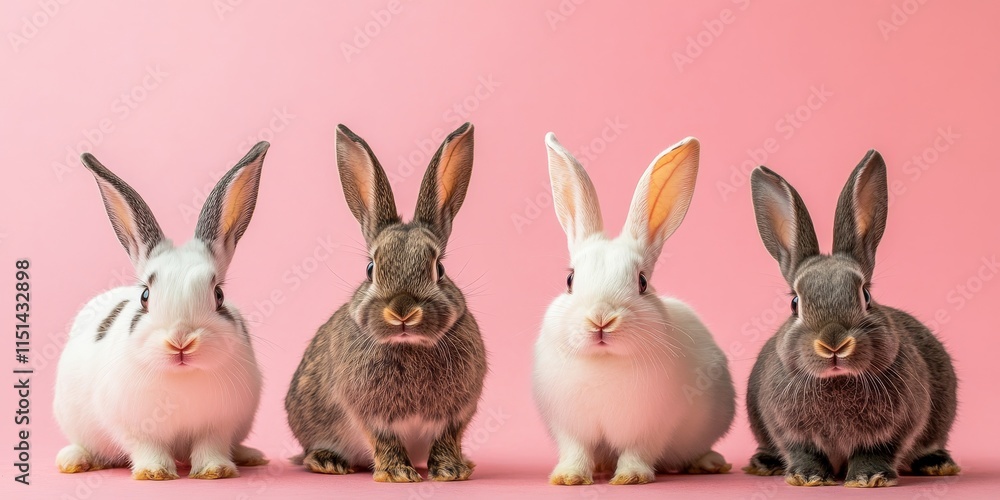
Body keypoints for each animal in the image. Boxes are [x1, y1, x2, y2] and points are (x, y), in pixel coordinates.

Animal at [53, 142, 270, 480]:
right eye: (145, 296)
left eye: (218, 295)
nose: (181, 341)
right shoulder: (134, 427)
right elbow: (147, 447)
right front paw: (155, 473)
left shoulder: (220, 425)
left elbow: (211, 446)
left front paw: (216, 471)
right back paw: (73, 460)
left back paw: (250, 456)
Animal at [285, 123, 487, 483]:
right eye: (370, 269)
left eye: (439, 269)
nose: (402, 312)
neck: (409, 345)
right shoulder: (370, 415)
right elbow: (384, 440)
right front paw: (398, 474)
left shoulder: (456, 415)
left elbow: (446, 439)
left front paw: (451, 471)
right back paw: (328, 462)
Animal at [532, 133, 736, 486]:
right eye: (570, 279)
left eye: (642, 281)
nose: (601, 319)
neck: (604, 363)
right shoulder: (569, 427)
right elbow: (576, 450)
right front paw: (570, 477)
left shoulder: (652, 427)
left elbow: (637, 452)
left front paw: (631, 478)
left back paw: (709, 463)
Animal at [744, 150, 960, 488]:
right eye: (795, 303)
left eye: (866, 295)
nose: (833, 343)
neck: (836, 381)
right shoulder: (788, 430)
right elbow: (804, 452)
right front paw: (807, 478)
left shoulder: (895, 428)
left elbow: (875, 451)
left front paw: (869, 478)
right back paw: (764, 464)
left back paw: (937, 464)